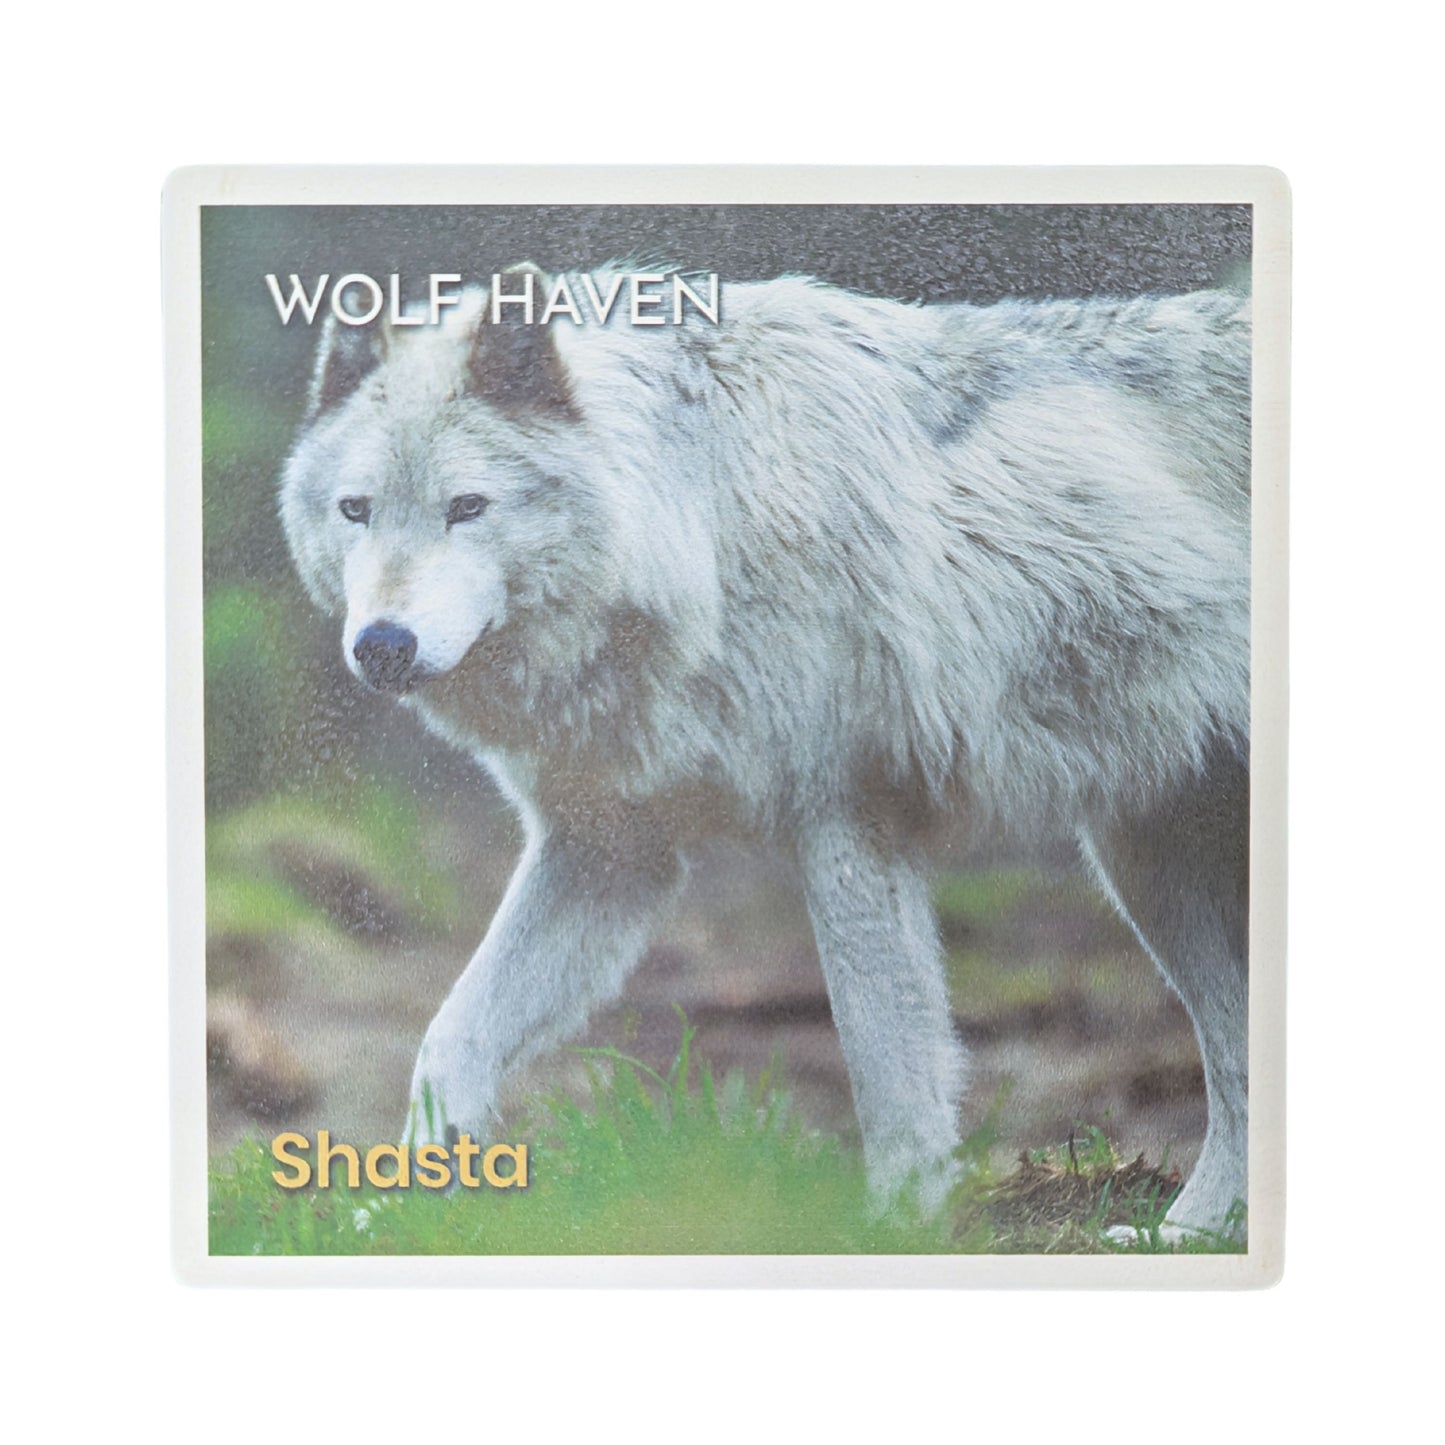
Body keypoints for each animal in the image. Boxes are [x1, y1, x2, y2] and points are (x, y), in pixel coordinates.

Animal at [280, 265, 1251, 1238]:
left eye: (467, 507)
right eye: (356, 510)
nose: (382, 645)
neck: (701, 524)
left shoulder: (846, 828)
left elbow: (889, 1078)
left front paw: (892, 1234)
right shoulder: (605, 850)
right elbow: (449, 1040)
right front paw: (403, 1218)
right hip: (1148, 866)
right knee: (1237, 1059)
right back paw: (1188, 1233)